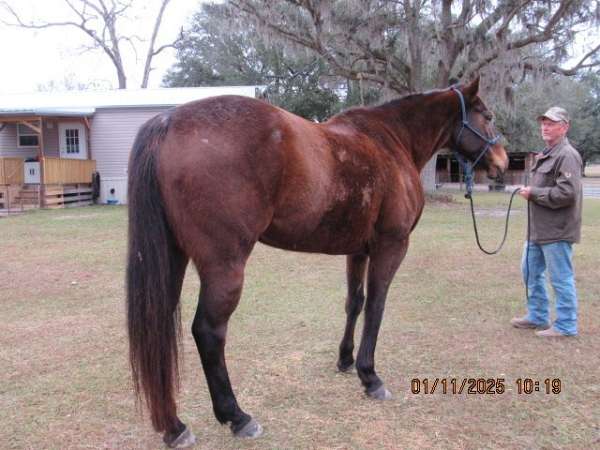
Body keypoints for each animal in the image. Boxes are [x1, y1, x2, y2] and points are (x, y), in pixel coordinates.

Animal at [125, 77, 506, 446]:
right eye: (487, 115)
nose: (502, 162)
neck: (392, 141)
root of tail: (169, 121)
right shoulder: (391, 246)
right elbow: (376, 307)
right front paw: (370, 376)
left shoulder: (359, 251)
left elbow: (355, 303)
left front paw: (346, 360)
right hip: (225, 265)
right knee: (208, 331)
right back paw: (237, 416)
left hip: (174, 259)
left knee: (159, 326)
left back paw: (174, 426)